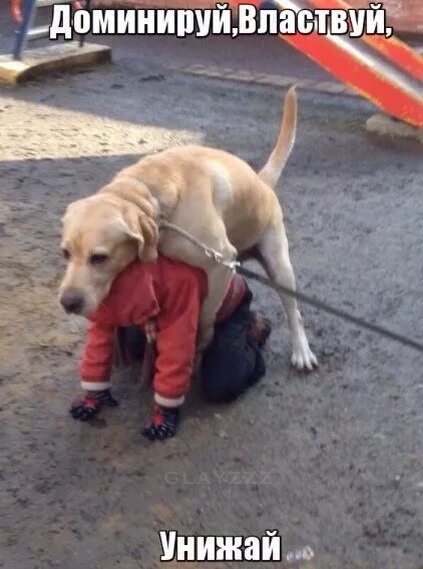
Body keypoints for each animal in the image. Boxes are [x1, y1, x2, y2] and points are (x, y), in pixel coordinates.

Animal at [58, 87, 318, 370]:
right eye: (66, 254)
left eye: (99, 257)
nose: (68, 302)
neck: (150, 193)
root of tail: (262, 182)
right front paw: (151, 326)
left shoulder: (221, 262)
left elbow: (205, 314)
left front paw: (198, 342)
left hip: (279, 267)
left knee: (294, 313)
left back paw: (301, 351)